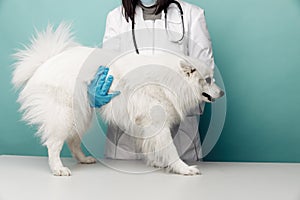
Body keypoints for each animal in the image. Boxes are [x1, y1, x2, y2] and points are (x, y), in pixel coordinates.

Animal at [12, 23, 223, 176]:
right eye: (208, 80)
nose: (222, 93)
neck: (170, 81)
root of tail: (45, 62)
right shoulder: (157, 124)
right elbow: (170, 150)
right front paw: (183, 168)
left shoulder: (148, 126)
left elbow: (153, 147)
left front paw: (157, 162)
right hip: (66, 115)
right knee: (53, 144)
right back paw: (58, 169)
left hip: (81, 114)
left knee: (72, 141)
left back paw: (83, 159)